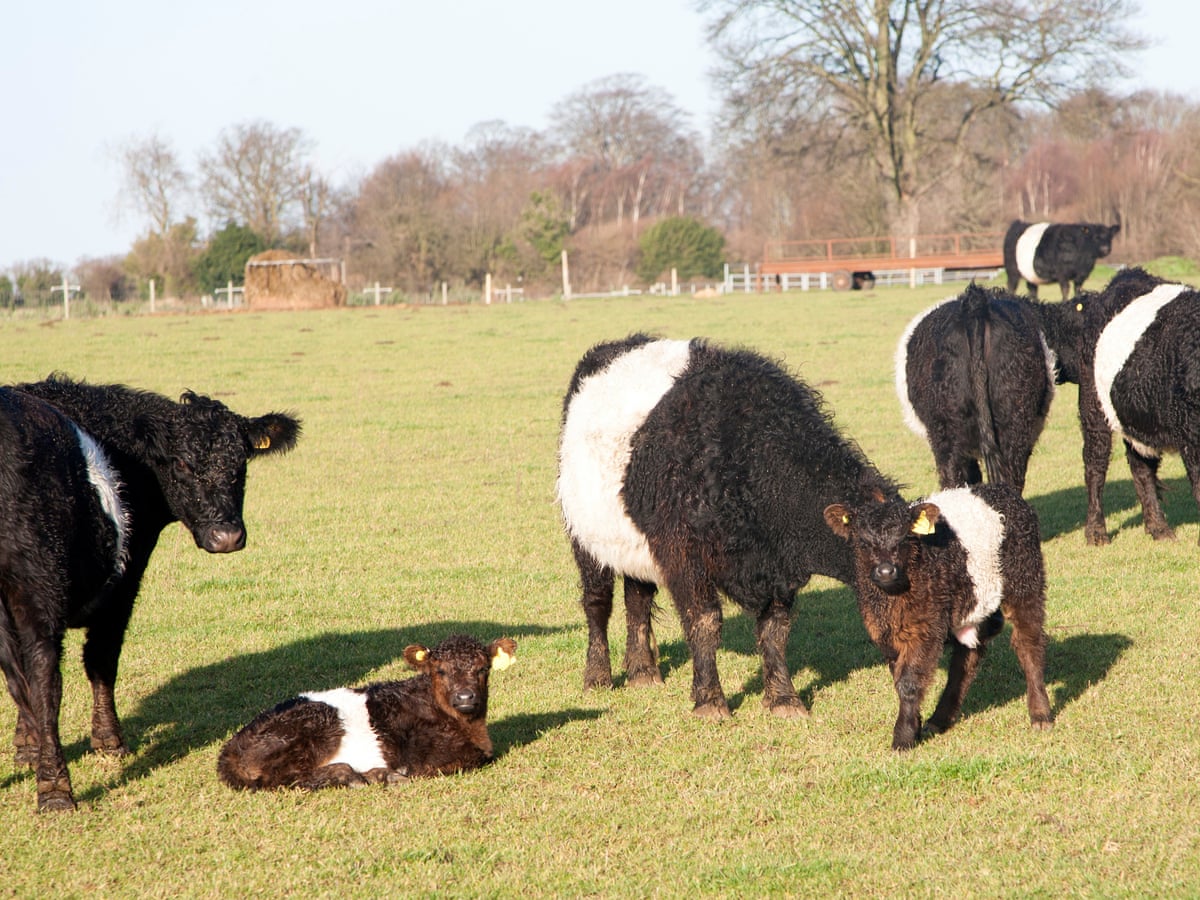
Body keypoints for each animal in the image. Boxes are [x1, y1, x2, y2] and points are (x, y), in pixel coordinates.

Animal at [0, 376, 300, 811]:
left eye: (240, 465)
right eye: (182, 464)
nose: (227, 537)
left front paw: (26, 746)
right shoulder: (125, 577)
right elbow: (101, 661)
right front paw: (109, 741)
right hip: (41, 578)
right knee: (44, 677)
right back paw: (56, 791)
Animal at [218, 635, 516, 790]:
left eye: (483, 669)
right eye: (440, 671)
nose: (465, 696)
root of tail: (231, 747)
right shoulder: (428, 758)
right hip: (316, 728)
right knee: (280, 778)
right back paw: (360, 775)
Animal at [557, 334, 900, 720]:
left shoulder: (777, 568)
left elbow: (775, 631)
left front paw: (784, 699)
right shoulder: (684, 555)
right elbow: (704, 622)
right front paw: (710, 702)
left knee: (637, 599)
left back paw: (643, 672)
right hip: (585, 536)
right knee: (598, 602)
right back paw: (598, 676)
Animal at [824, 483, 1053, 750]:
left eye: (904, 537)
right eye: (863, 541)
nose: (885, 570)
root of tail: (1001, 489)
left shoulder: (926, 627)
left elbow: (909, 682)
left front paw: (903, 737)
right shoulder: (885, 634)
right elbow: (899, 678)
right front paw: (915, 725)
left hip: (1025, 580)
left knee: (1028, 642)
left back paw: (1040, 714)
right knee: (967, 657)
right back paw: (939, 719)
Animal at [1073, 266, 1200, 545]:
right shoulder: (1192, 440)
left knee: (1141, 468)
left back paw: (1158, 529)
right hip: (1093, 408)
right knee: (1095, 463)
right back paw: (1096, 533)